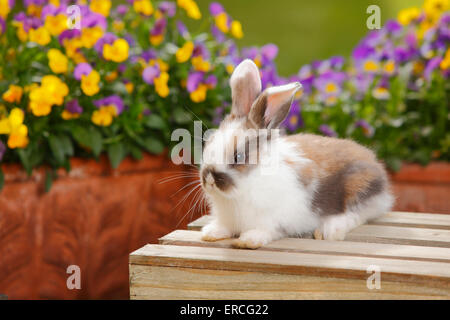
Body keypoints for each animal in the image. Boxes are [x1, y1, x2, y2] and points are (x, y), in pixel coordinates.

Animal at [199, 60, 392, 250]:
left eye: (238, 157)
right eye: (208, 143)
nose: (209, 178)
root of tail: (376, 166)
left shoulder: (274, 219)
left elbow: (266, 230)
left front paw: (248, 240)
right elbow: (224, 227)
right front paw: (210, 233)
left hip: (357, 188)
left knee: (356, 214)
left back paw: (330, 230)